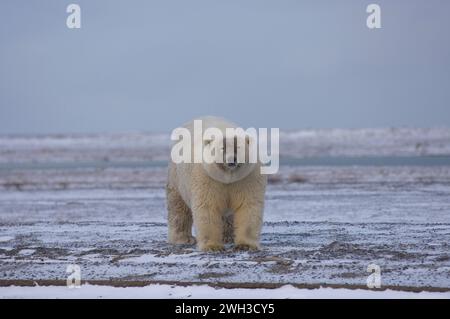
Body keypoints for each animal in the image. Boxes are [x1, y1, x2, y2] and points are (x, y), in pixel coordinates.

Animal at [168, 117, 268, 252]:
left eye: (238, 147)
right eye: (222, 148)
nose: (231, 160)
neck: (228, 175)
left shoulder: (247, 178)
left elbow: (248, 205)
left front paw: (245, 245)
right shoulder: (206, 177)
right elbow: (208, 206)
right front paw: (212, 246)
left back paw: (228, 237)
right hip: (177, 178)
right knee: (178, 208)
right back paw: (183, 239)